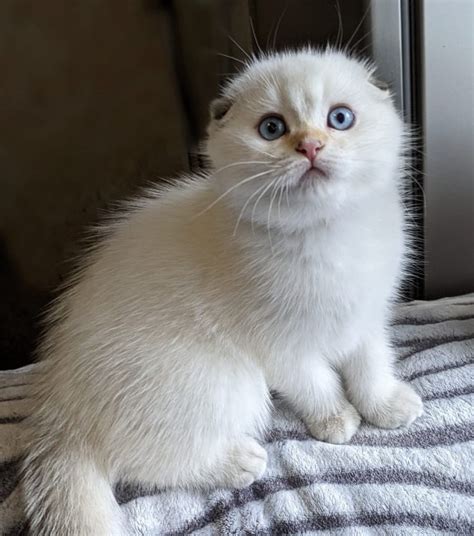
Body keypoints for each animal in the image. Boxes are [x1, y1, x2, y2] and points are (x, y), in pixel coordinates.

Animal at [21, 48, 422, 532]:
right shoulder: (280, 346)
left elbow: (371, 366)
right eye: (272, 128)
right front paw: (335, 419)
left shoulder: (367, 318)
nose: (310, 146)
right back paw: (237, 461)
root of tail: (63, 418)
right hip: (225, 382)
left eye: (340, 118)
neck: (327, 237)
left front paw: (385, 407)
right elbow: (316, 382)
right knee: (142, 461)